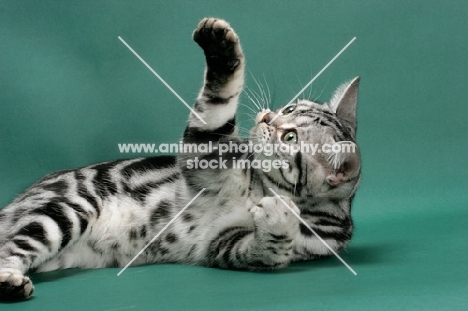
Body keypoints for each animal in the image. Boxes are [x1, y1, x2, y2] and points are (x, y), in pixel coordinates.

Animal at [0, 17, 362, 302]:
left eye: (290, 138)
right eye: (288, 108)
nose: (266, 117)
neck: (264, 190)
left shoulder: (224, 244)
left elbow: (271, 251)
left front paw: (276, 220)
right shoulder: (205, 159)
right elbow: (216, 104)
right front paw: (220, 49)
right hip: (65, 209)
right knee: (11, 247)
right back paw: (11, 281)